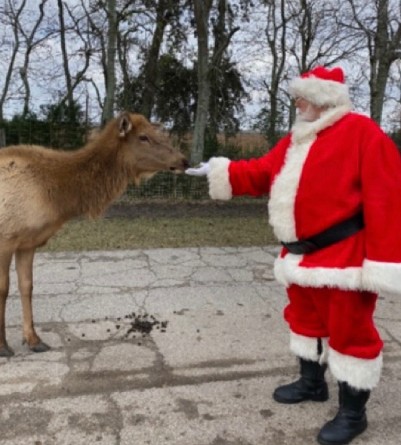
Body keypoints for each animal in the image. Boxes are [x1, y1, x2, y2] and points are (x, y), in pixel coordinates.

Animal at [0, 112, 189, 358]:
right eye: (143, 137)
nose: (184, 160)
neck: (56, 198)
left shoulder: (27, 242)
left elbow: (27, 286)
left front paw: (34, 340)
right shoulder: (6, 239)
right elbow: (4, 289)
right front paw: (3, 346)